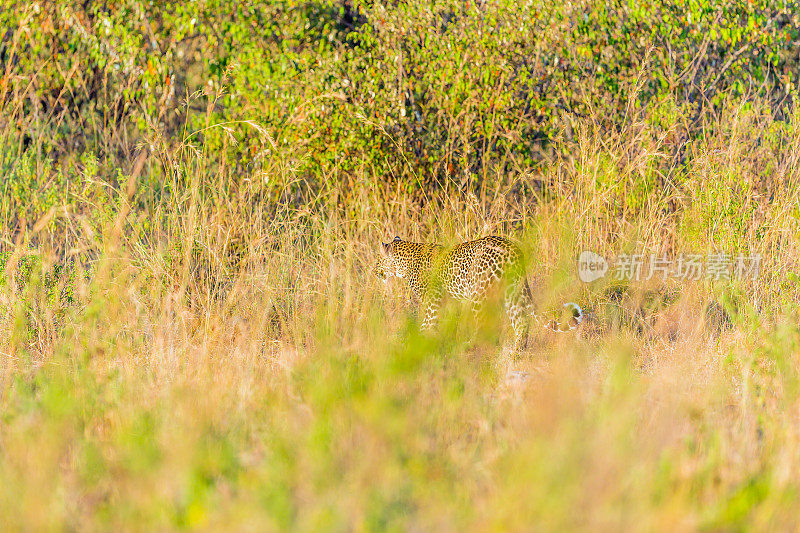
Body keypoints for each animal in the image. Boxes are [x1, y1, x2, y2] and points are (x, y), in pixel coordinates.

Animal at [376, 235, 580, 352]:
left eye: (378, 260)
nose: (375, 271)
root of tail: (513, 250)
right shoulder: (447, 302)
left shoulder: (432, 300)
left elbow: (428, 322)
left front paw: (418, 342)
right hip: (512, 292)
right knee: (521, 322)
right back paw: (517, 353)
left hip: (479, 295)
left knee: (485, 325)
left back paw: (473, 348)